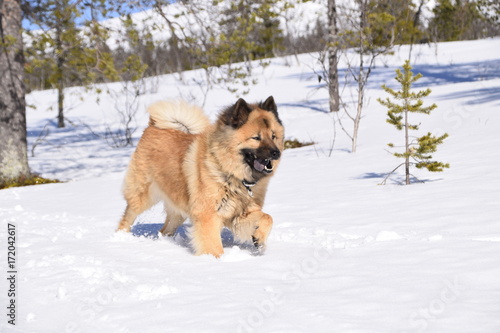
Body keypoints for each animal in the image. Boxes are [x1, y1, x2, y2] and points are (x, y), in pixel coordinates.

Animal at [114, 96, 284, 256]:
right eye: (256, 137)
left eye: (273, 136)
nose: (276, 153)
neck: (230, 173)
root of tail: (152, 126)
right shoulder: (208, 215)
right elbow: (213, 245)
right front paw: (215, 260)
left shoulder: (239, 214)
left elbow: (268, 218)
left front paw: (259, 239)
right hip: (143, 195)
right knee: (128, 216)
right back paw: (121, 237)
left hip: (178, 209)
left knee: (165, 229)